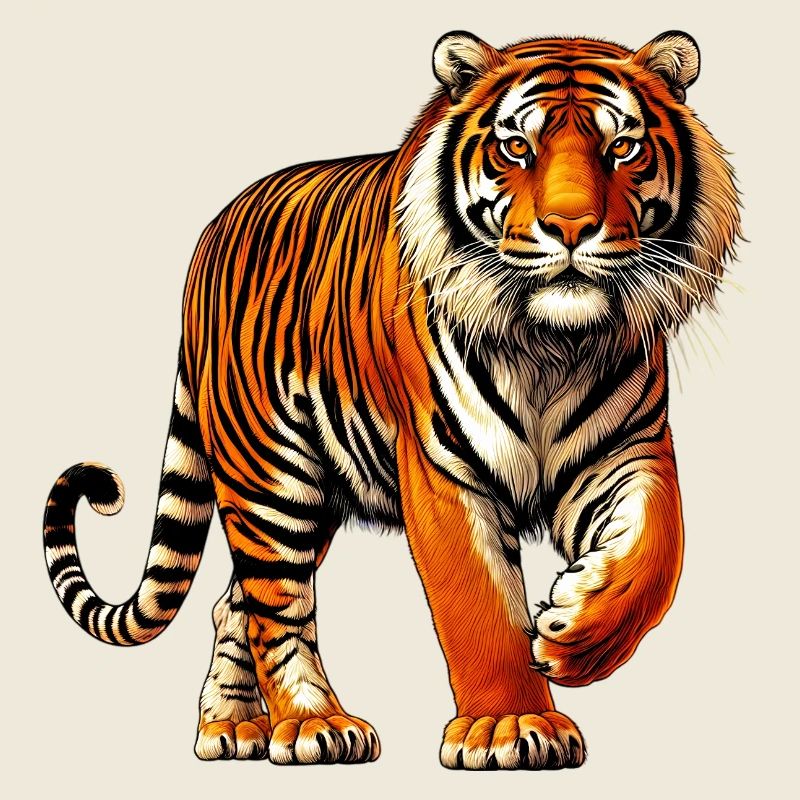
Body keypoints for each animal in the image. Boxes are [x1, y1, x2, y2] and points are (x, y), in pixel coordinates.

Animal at [43, 30, 740, 770]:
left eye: (624, 148)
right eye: (516, 148)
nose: (571, 226)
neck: (552, 346)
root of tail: (211, 236)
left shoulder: (632, 451)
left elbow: (658, 552)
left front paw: (577, 633)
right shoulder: (443, 469)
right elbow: (479, 605)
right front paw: (511, 724)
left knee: (235, 602)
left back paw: (231, 728)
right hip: (269, 478)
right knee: (277, 604)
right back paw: (313, 724)